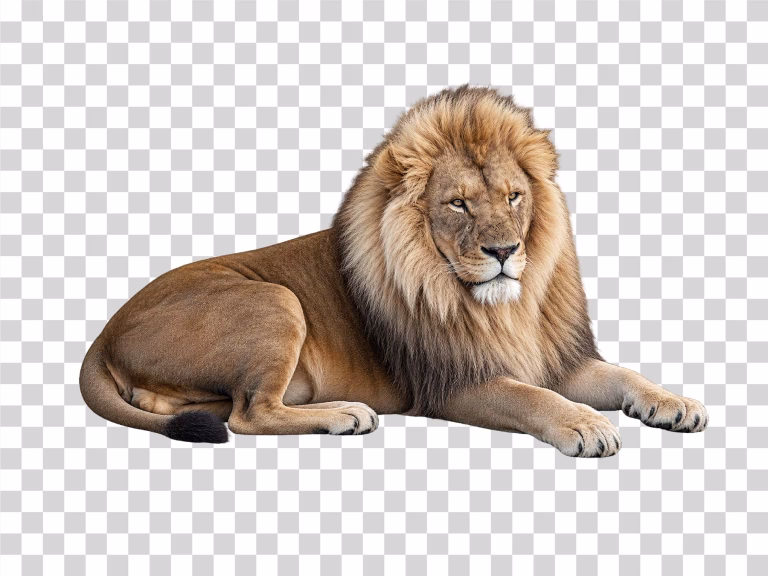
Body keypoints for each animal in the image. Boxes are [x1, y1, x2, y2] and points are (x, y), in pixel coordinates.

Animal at [80, 85, 708, 456]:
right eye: (457, 204)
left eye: (513, 196)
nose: (505, 251)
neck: (505, 309)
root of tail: (104, 333)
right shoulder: (454, 383)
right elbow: (532, 399)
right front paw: (584, 425)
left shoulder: (558, 360)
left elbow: (623, 375)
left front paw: (675, 402)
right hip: (276, 299)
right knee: (248, 415)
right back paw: (343, 415)